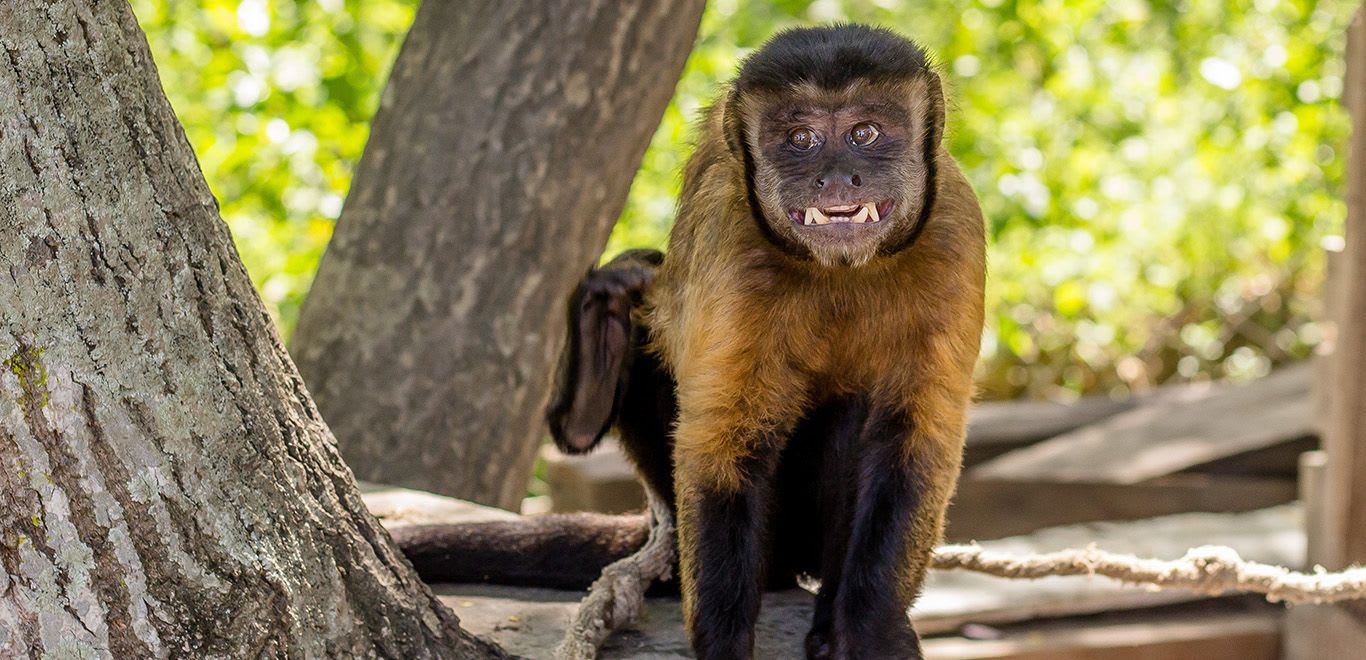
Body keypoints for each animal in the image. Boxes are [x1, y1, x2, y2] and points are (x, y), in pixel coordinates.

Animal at [396, 24, 983, 660]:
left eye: (865, 133)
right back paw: (598, 358)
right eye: (800, 139)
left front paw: (868, 630)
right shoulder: (731, 240)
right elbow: (720, 448)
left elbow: (914, 444)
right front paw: (726, 644)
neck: (839, 270)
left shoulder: (956, 229)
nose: (833, 176)